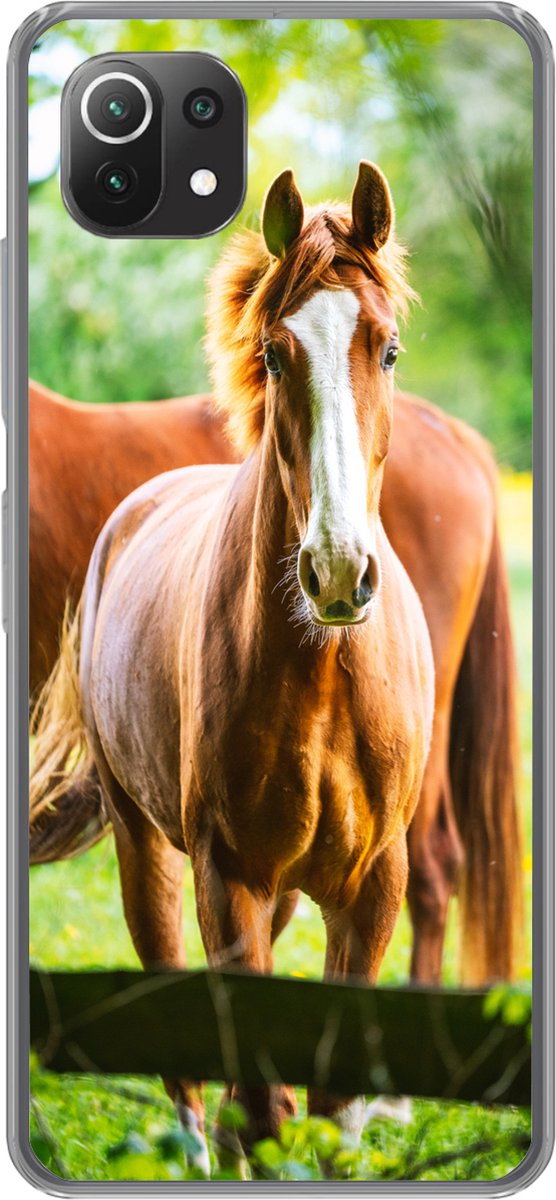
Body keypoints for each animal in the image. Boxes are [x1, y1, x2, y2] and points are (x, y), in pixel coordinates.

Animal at [31, 162, 439, 1167]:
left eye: (388, 350)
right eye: (275, 353)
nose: (337, 570)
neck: (325, 676)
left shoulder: (372, 889)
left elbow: (327, 1108)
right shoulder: (228, 881)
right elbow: (263, 1100)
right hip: (147, 852)